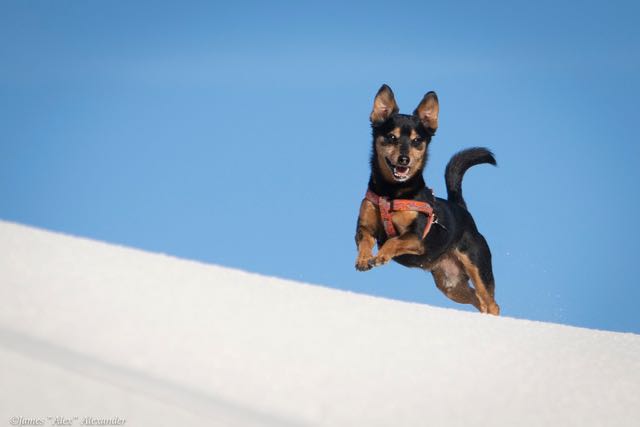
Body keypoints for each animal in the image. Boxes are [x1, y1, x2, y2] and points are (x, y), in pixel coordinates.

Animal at [356, 85, 500, 316]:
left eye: (417, 141)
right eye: (391, 137)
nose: (404, 160)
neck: (392, 192)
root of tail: (460, 208)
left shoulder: (416, 237)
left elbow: (393, 241)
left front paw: (381, 255)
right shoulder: (365, 228)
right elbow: (365, 242)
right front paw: (362, 259)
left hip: (478, 266)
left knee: (491, 302)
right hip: (450, 283)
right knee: (478, 300)